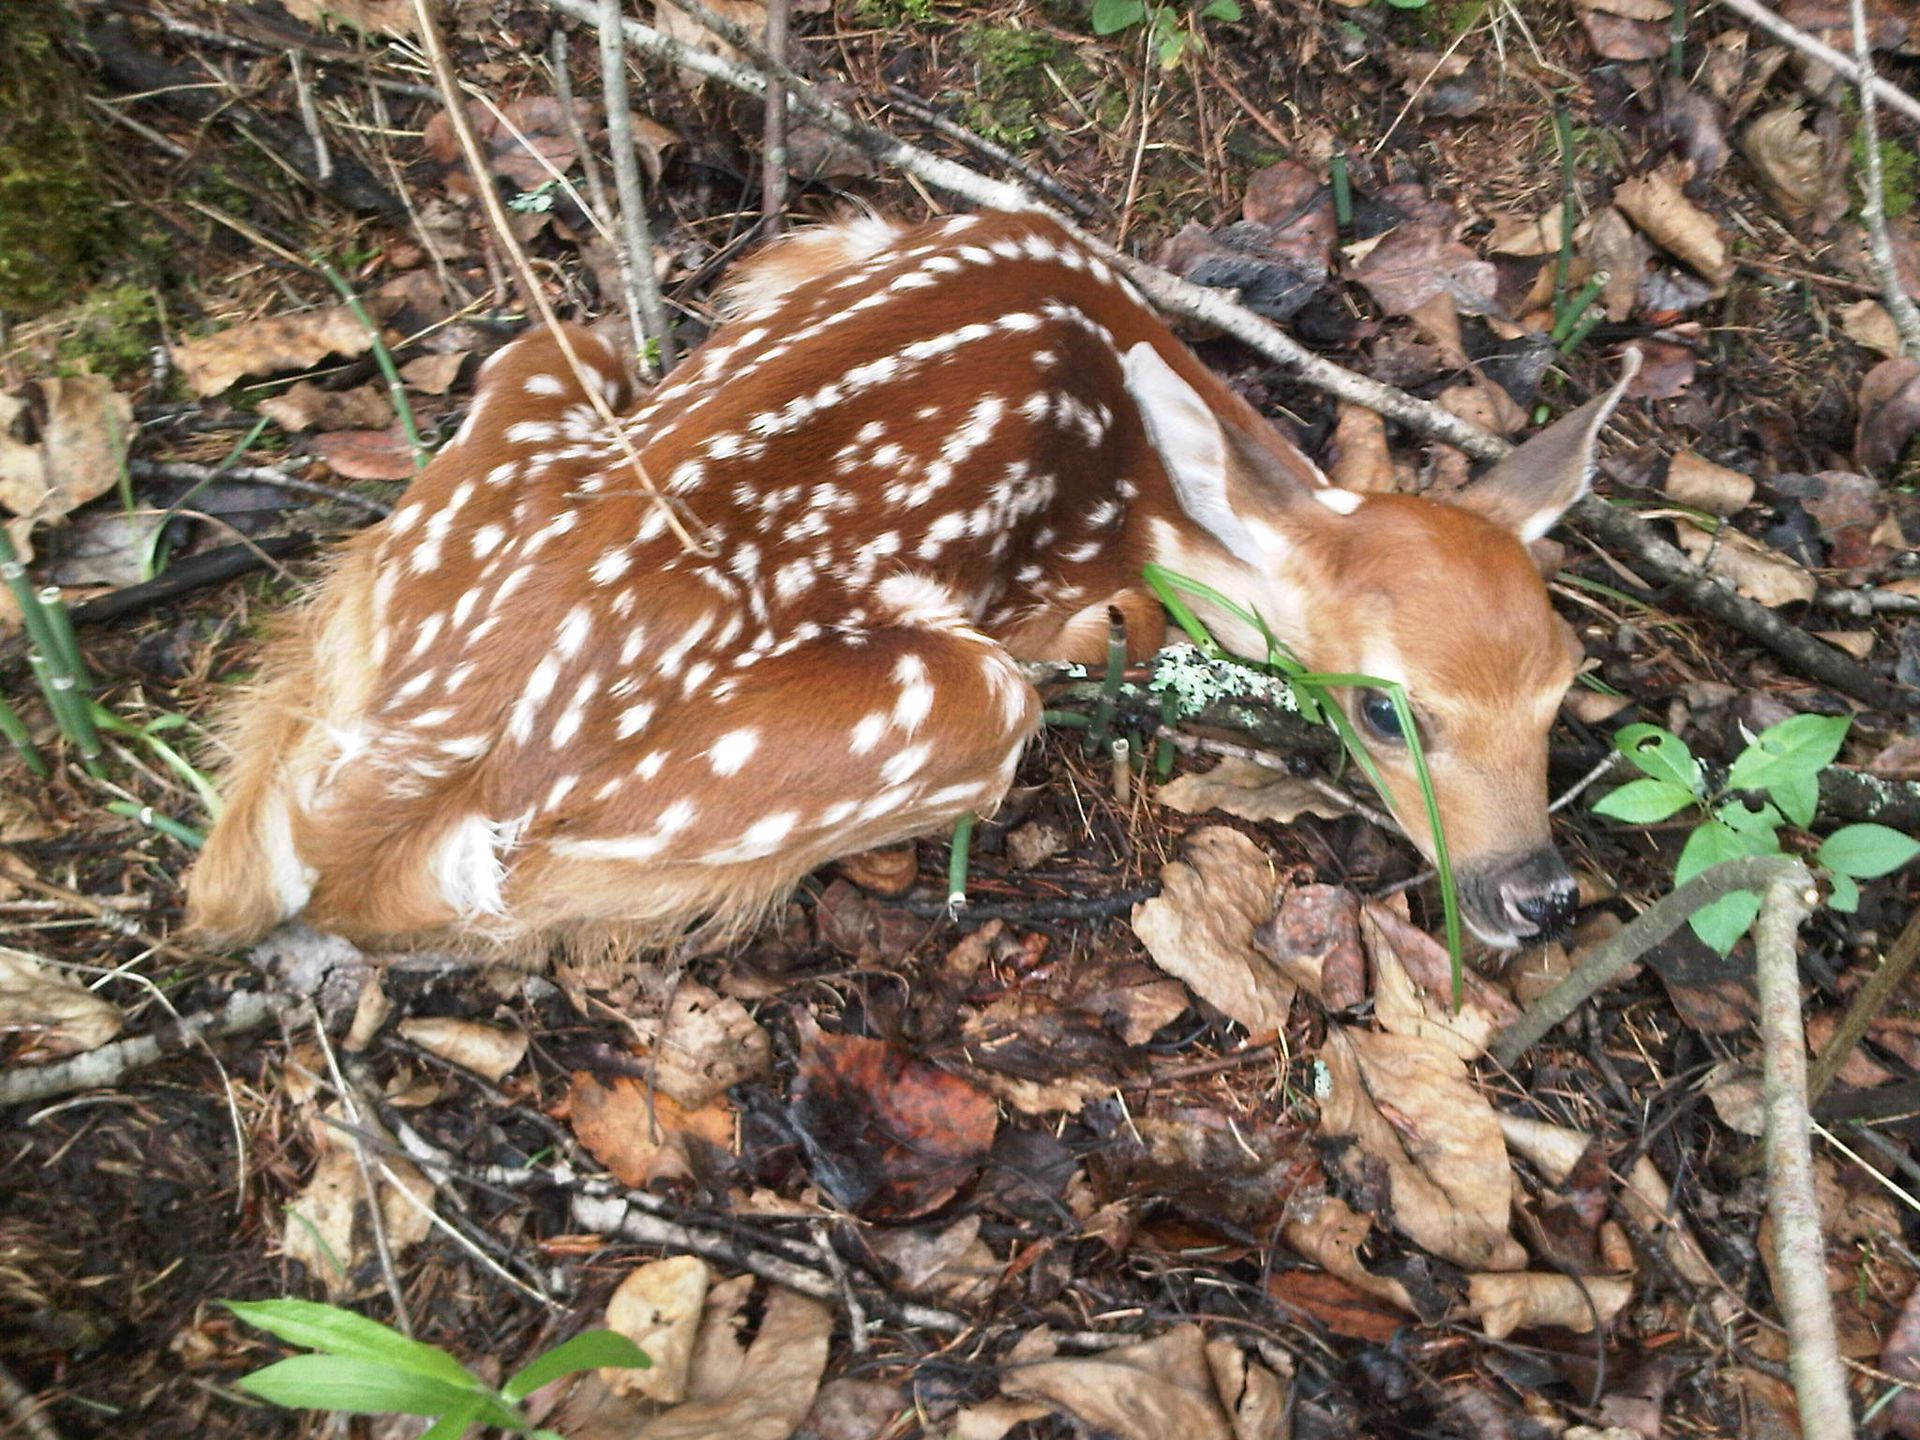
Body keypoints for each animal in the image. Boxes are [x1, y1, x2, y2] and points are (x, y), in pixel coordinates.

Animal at [184, 208, 1634, 957]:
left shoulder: (856, 235)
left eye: (1567, 685)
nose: (1540, 895)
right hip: (942, 712)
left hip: (536, 385)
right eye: (1385, 709)